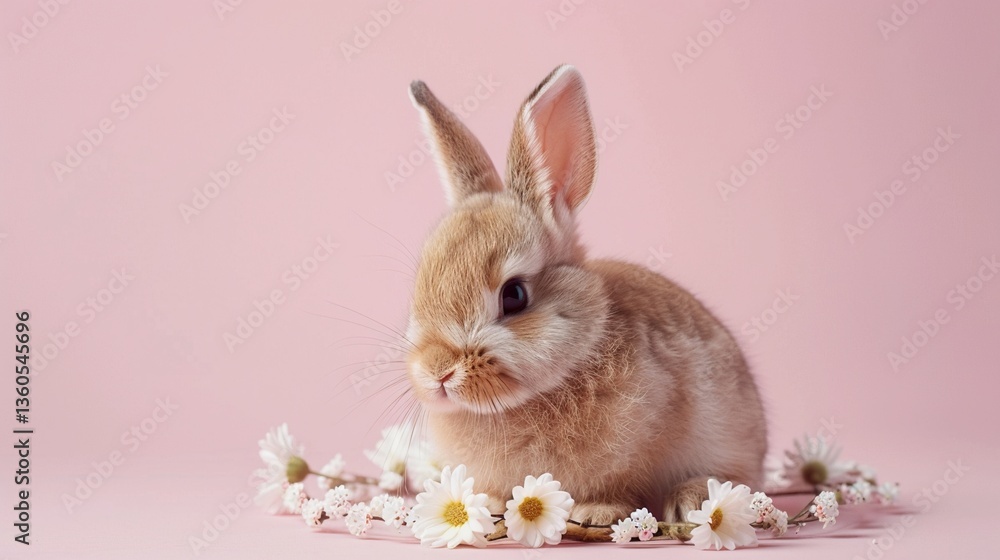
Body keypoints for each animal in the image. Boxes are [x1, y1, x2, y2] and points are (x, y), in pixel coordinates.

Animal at [402, 64, 767, 530]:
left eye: (514, 295)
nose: (437, 372)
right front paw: (492, 504)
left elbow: (618, 486)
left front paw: (595, 513)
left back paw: (691, 497)